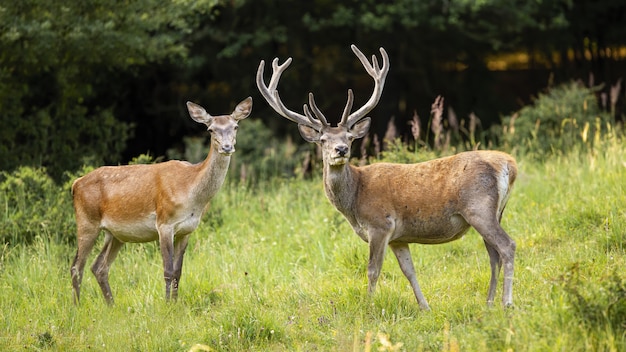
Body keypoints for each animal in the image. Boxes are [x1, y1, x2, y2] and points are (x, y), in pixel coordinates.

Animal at [70, 97, 251, 304]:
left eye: (235, 126)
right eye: (211, 129)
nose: (227, 147)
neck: (192, 193)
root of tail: (75, 184)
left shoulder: (187, 230)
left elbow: (178, 271)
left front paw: (175, 303)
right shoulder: (164, 223)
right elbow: (168, 271)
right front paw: (167, 305)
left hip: (115, 234)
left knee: (99, 267)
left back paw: (111, 305)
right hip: (86, 222)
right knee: (76, 267)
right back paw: (76, 306)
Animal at [256, 45, 516, 310]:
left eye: (350, 137)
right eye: (323, 140)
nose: (341, 149)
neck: (355, 199)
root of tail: (508, 164)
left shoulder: (380, 224)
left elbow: (372, 270)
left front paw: (369, 305)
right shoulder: (398, 238)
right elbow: (409, 271)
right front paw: (425, 307)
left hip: (478, 208)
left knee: (507, 246)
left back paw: (506, 302)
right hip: (494, 212)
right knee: (493, 254)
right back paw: (489, 303)